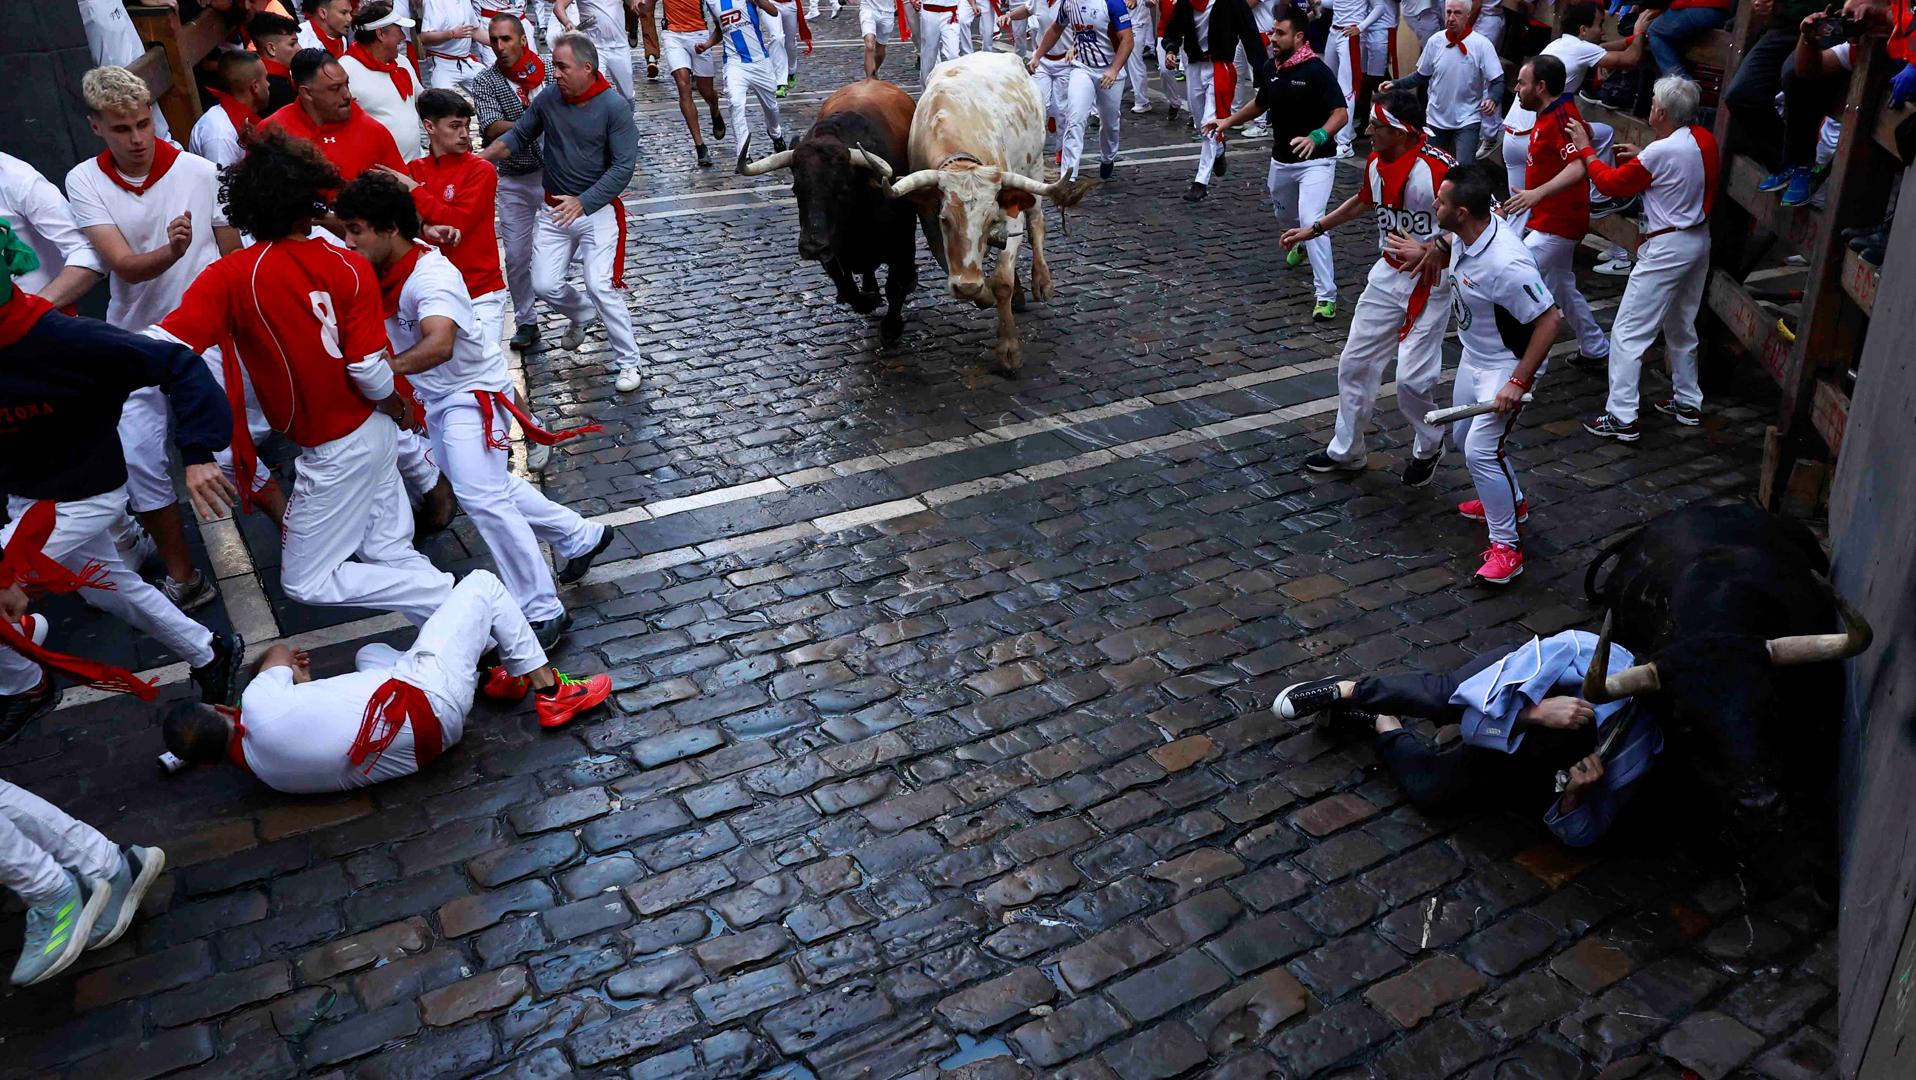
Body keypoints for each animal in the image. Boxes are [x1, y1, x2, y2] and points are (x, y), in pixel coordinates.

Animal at [735, 79, 915, 340]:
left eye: (843, 189)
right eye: (796, 189)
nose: (812, 247)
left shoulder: (901, 238)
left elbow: (895, 285)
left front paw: (892, 326)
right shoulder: (831, 251)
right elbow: (846, 286)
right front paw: (868, 299)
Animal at [889, 54, 1088, 375]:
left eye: (990, 219)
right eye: (945, 219)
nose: (967, 285)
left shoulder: (1009, 211)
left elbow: (1002, 281)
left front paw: (1008, 347)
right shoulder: (929, 221)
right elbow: (953, 265)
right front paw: (981, 293)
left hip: (1032, 168)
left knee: (1037, 223)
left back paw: (1041, 280)